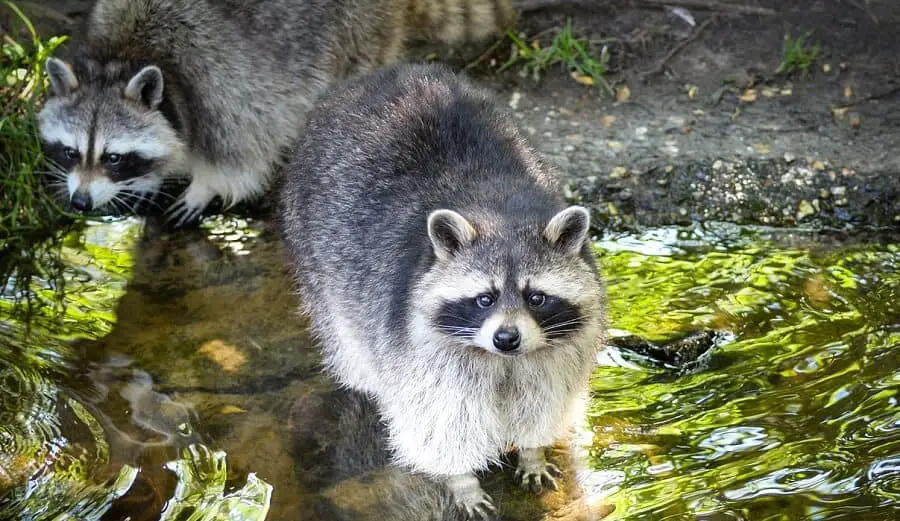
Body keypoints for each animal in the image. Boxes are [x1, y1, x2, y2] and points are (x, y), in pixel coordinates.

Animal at [37, 0, 516, 226]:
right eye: (69, 152)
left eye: (113, 157)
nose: (79, 202)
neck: (121, 59)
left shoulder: (215, 80)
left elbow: (240, 155)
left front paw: (202, 187)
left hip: (357, 31)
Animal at [279, 63, 606, 519]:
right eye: (485, 298)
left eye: (536, 297)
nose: (507, 338)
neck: (501, 214)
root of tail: (382, 74)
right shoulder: (417, 345)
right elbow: (441, 420)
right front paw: (461, 481)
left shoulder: (562, 351)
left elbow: (545, 399)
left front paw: (532, 451)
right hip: (312, 250)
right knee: (350, 346)